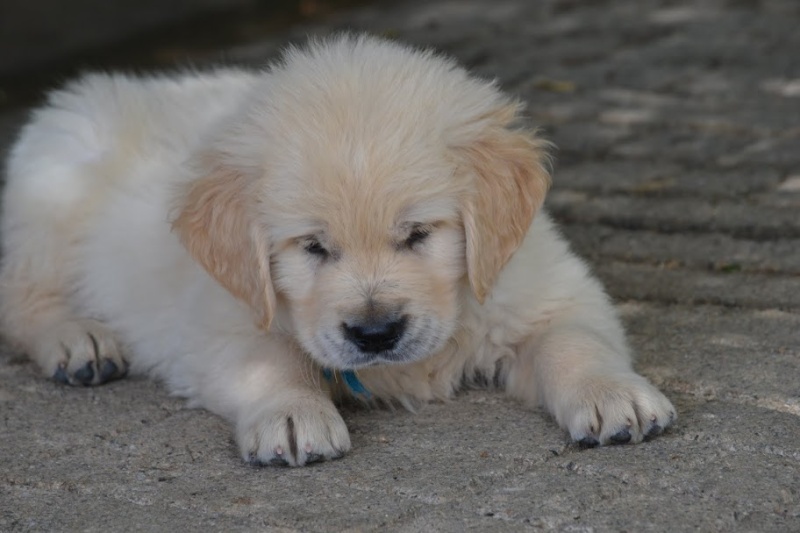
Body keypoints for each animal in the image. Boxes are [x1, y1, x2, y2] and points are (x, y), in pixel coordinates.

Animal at [0, 34, 676, 466]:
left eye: (418, 234)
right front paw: (294, 414)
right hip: (53, 189)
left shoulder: (541, 285)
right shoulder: (223, 321)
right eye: (313, 247)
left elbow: (573, 341)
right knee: (20, 296)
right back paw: (79, 341)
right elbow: (274, 362)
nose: (375, 334)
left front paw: (611, 394)